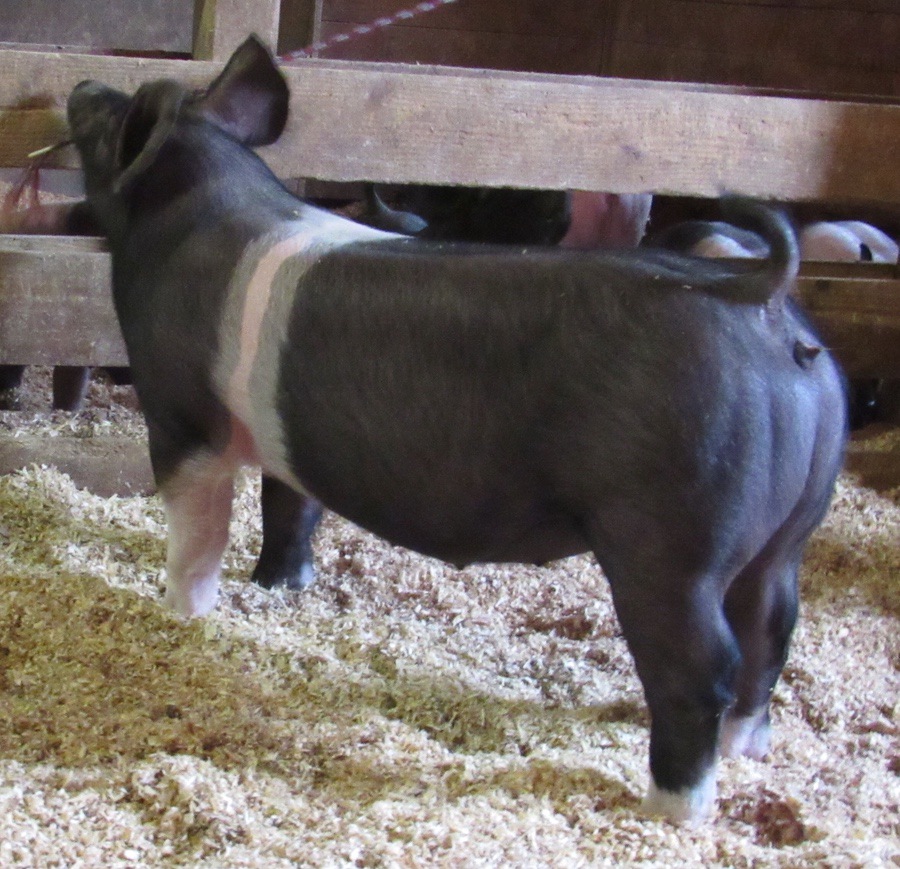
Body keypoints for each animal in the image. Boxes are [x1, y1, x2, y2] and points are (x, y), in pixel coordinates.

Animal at [65, 36, 846, 823]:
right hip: (790, 532)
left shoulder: (181, 415)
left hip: (670, 544)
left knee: (703, 666)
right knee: (771, 627)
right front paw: (279, 587)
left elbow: (198, 530)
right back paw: (747, 750)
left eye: (112, 119)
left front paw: (178, 614)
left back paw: (671, 808)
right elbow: (290, 507)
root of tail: (757, 292)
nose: (82, 84)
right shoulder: (289, 434)